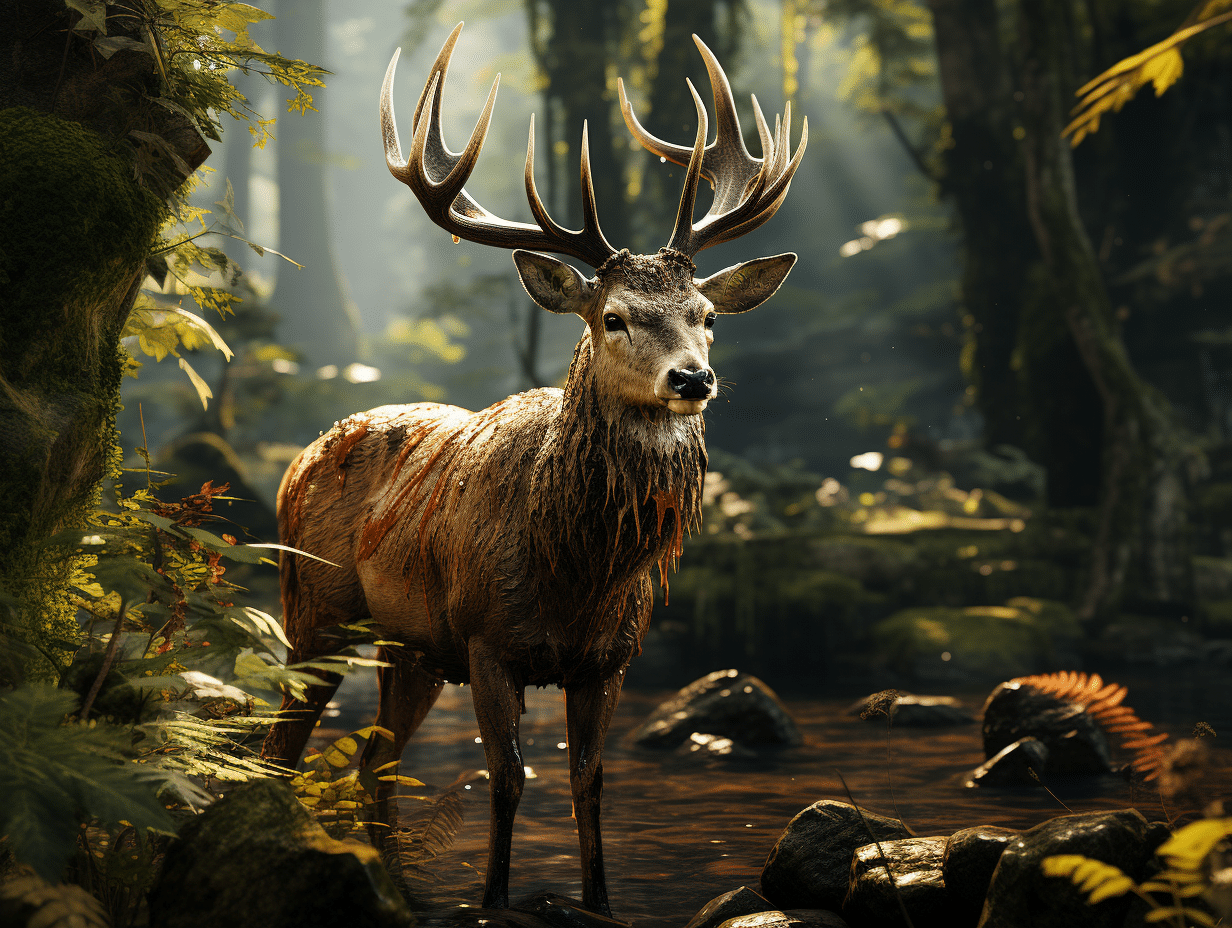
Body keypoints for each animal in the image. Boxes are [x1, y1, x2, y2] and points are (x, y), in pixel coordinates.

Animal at [261, 23, 805, 916]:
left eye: (707, 316)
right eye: (614, 317)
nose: (693, 379)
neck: (575, 572)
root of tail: (296, 462)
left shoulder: (611, 659)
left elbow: (588, 783)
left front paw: (600, 901)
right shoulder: (488, 638)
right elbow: (509, 779)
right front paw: (491, 899)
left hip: (409, 647)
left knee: (377, 761)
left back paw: (397, 887)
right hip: (315, 605)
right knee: (281, 746)